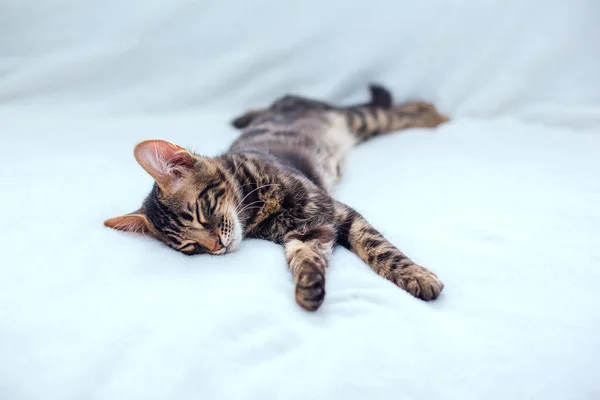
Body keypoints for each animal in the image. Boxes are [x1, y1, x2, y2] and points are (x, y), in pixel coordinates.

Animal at [105, 83, 448, 310]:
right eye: (189, 248)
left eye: (201, 214)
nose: (215, 247)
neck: (255, 208)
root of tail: (288, 99)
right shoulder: (308, 232)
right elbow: (304, 258)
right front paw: (308, 287)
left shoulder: (337, 211)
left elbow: (381, 250)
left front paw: (416, 276)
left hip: (358, 120)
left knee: (393, 112)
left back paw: (433, 115)